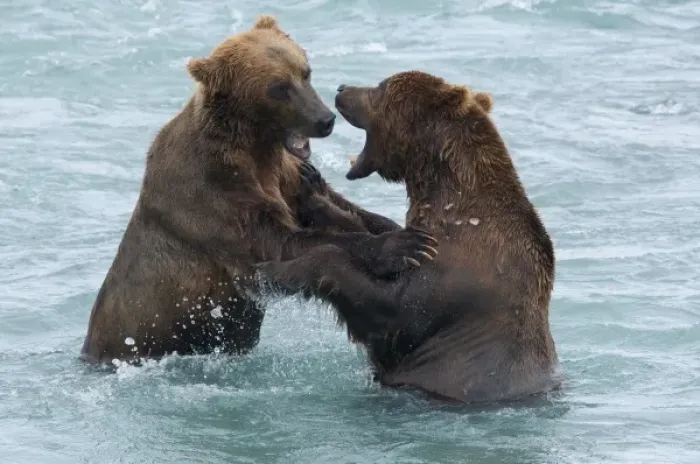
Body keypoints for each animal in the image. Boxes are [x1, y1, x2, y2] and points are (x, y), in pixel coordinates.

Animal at [80, 17, 438, 365]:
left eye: (305, 71)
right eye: (278, 87)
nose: (325, 120)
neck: (254, 148)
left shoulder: (282, 174)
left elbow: (336, 205)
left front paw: (394, 227)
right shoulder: (214, 194)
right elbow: (280, 244)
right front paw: (402, 245)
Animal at [255, 70, 561, 404]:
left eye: (381, 87)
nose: (341, 88)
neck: (447, 196)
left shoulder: (460, 270)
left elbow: (388, 310)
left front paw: (274, 271)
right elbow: (384, 231)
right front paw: (311, 187)